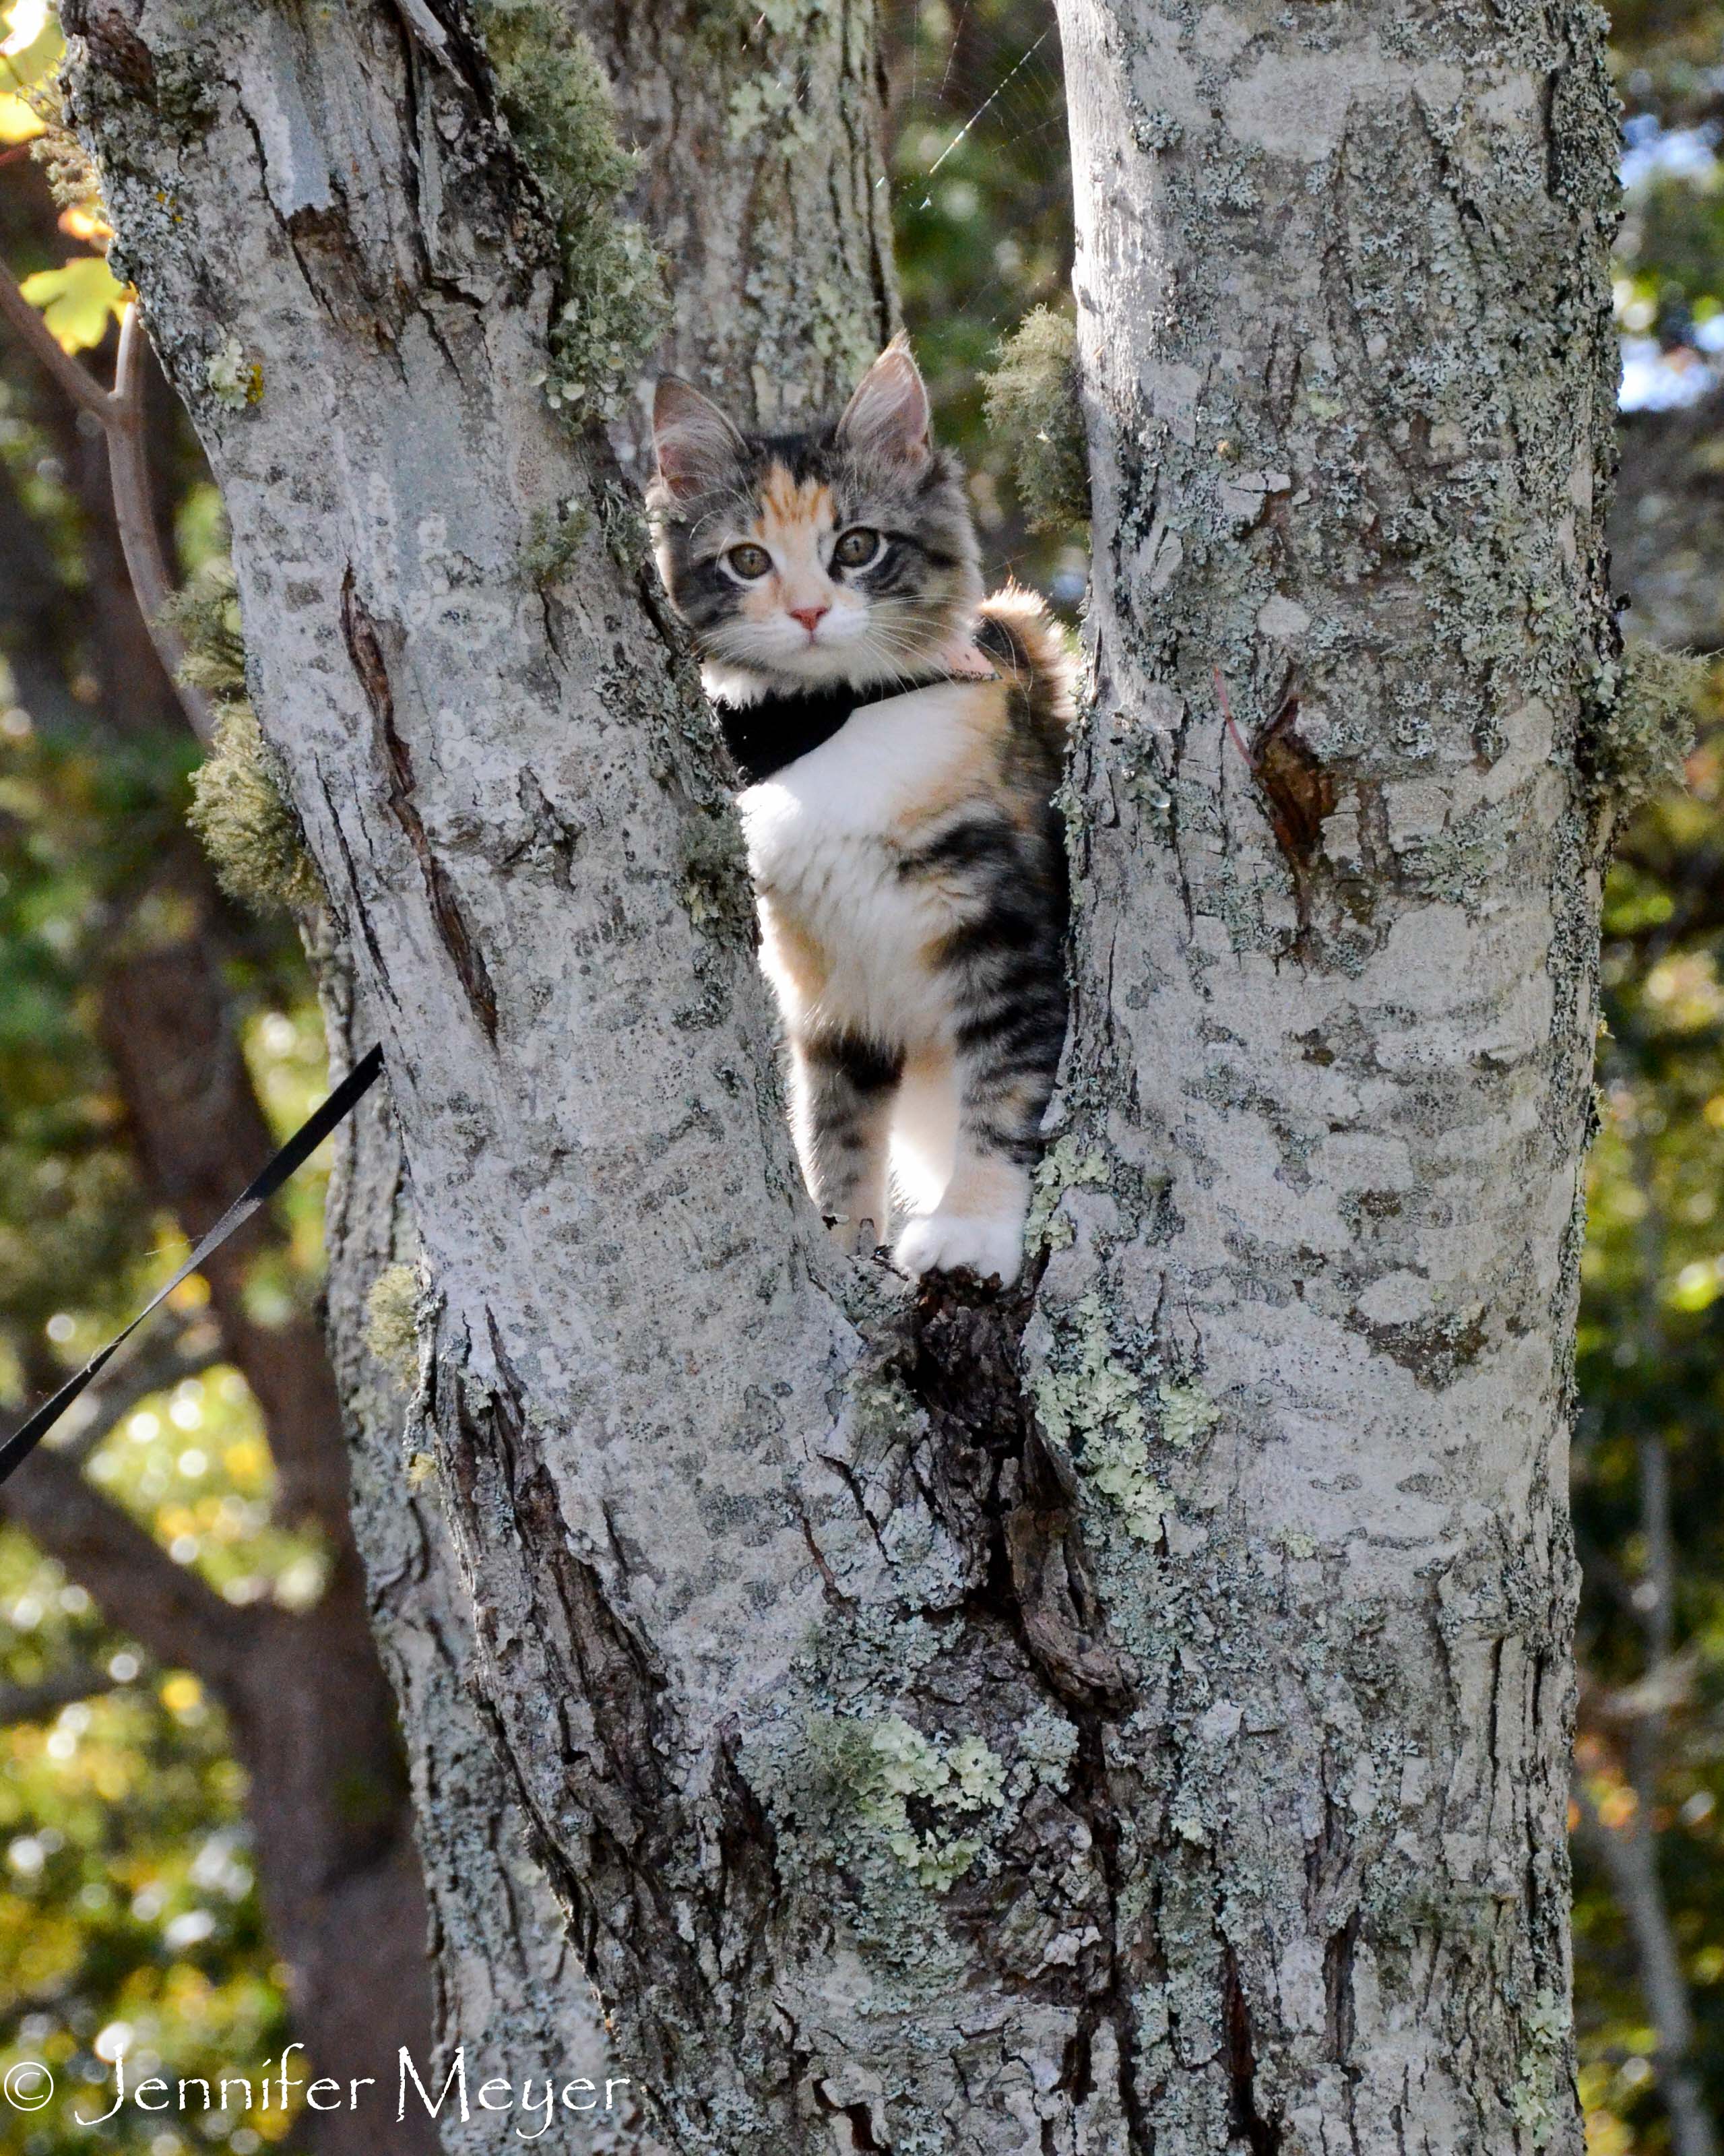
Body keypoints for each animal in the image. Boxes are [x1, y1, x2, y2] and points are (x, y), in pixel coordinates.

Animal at [655, 336, 1068, 1276]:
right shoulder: (830, 996)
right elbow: (837, 1133)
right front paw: (845, 1241)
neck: (835, 718)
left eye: (856, 545)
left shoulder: (1008, 923)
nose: (810, 611)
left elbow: (1004, 1087)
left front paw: (972, 1229)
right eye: (748, 560)